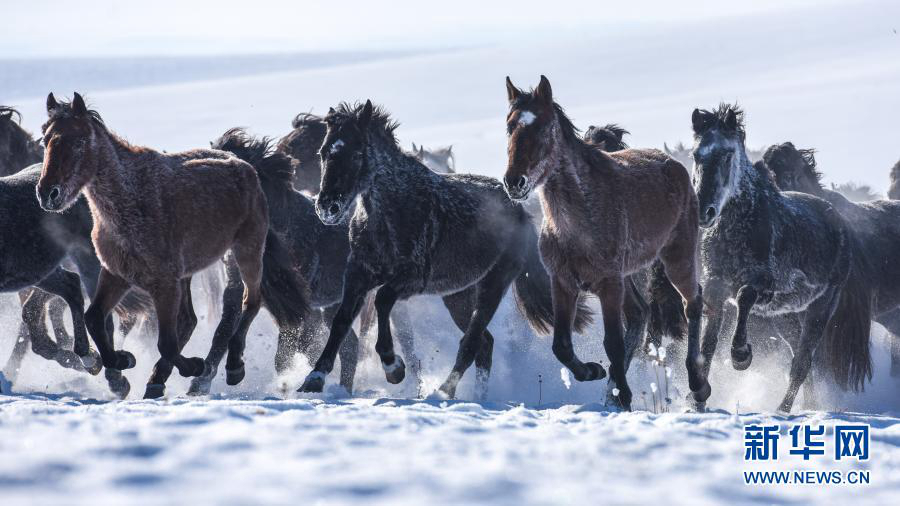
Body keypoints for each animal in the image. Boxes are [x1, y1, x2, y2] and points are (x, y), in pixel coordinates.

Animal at [37, 92, 310, 392]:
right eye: (44, 140)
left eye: (79, 142)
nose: (48, 193)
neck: (129, 199)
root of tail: (244, 164)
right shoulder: (116, 274)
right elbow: (94, 319)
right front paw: (123, 360)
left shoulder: (164, 283)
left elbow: (166, 343)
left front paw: (195, 366)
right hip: (189, 274)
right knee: (191, 319)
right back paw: (158, 379)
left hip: (245, 251)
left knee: (251, 300)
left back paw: (233, 367)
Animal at [296, 100, 592, 400]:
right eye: (323, 152)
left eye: (357, 153)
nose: (327, 207)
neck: (393, 208)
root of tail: (521, 211)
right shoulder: (358, 275)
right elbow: (341, 321)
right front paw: (314, 378)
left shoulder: (411, 279)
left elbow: (382, 300)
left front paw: (393, 367)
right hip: (458, 296)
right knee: (484, 344)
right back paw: (476, 396)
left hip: (494, 284)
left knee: (471, 343)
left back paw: (445, 392)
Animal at [506, 79, 704, 412]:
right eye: (510, 126)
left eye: (544, 127)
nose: (514, 182)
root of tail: (674, 164)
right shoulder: (563, 282)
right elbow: (561, 345)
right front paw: (594, 372)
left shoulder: (609, 283)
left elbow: (613, 342)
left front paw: (621, 394)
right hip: (630, 275)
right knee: (639, 314)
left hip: (677, 258)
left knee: (693, 304)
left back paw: (698, 387)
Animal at [684, 105, 868, 414]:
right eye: (697, 155)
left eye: (727, 154)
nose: (704, 211)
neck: (739, 224)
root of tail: (838, 219)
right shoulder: (715, 286)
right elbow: (708, 345)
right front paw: (697, 398)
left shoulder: (764, 285)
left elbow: (744, 297)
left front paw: (741, 355)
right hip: (784, 316)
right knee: (798, 356)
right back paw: (808, 406)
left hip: (821, 306)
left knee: (802, 362)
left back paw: (783, 410)